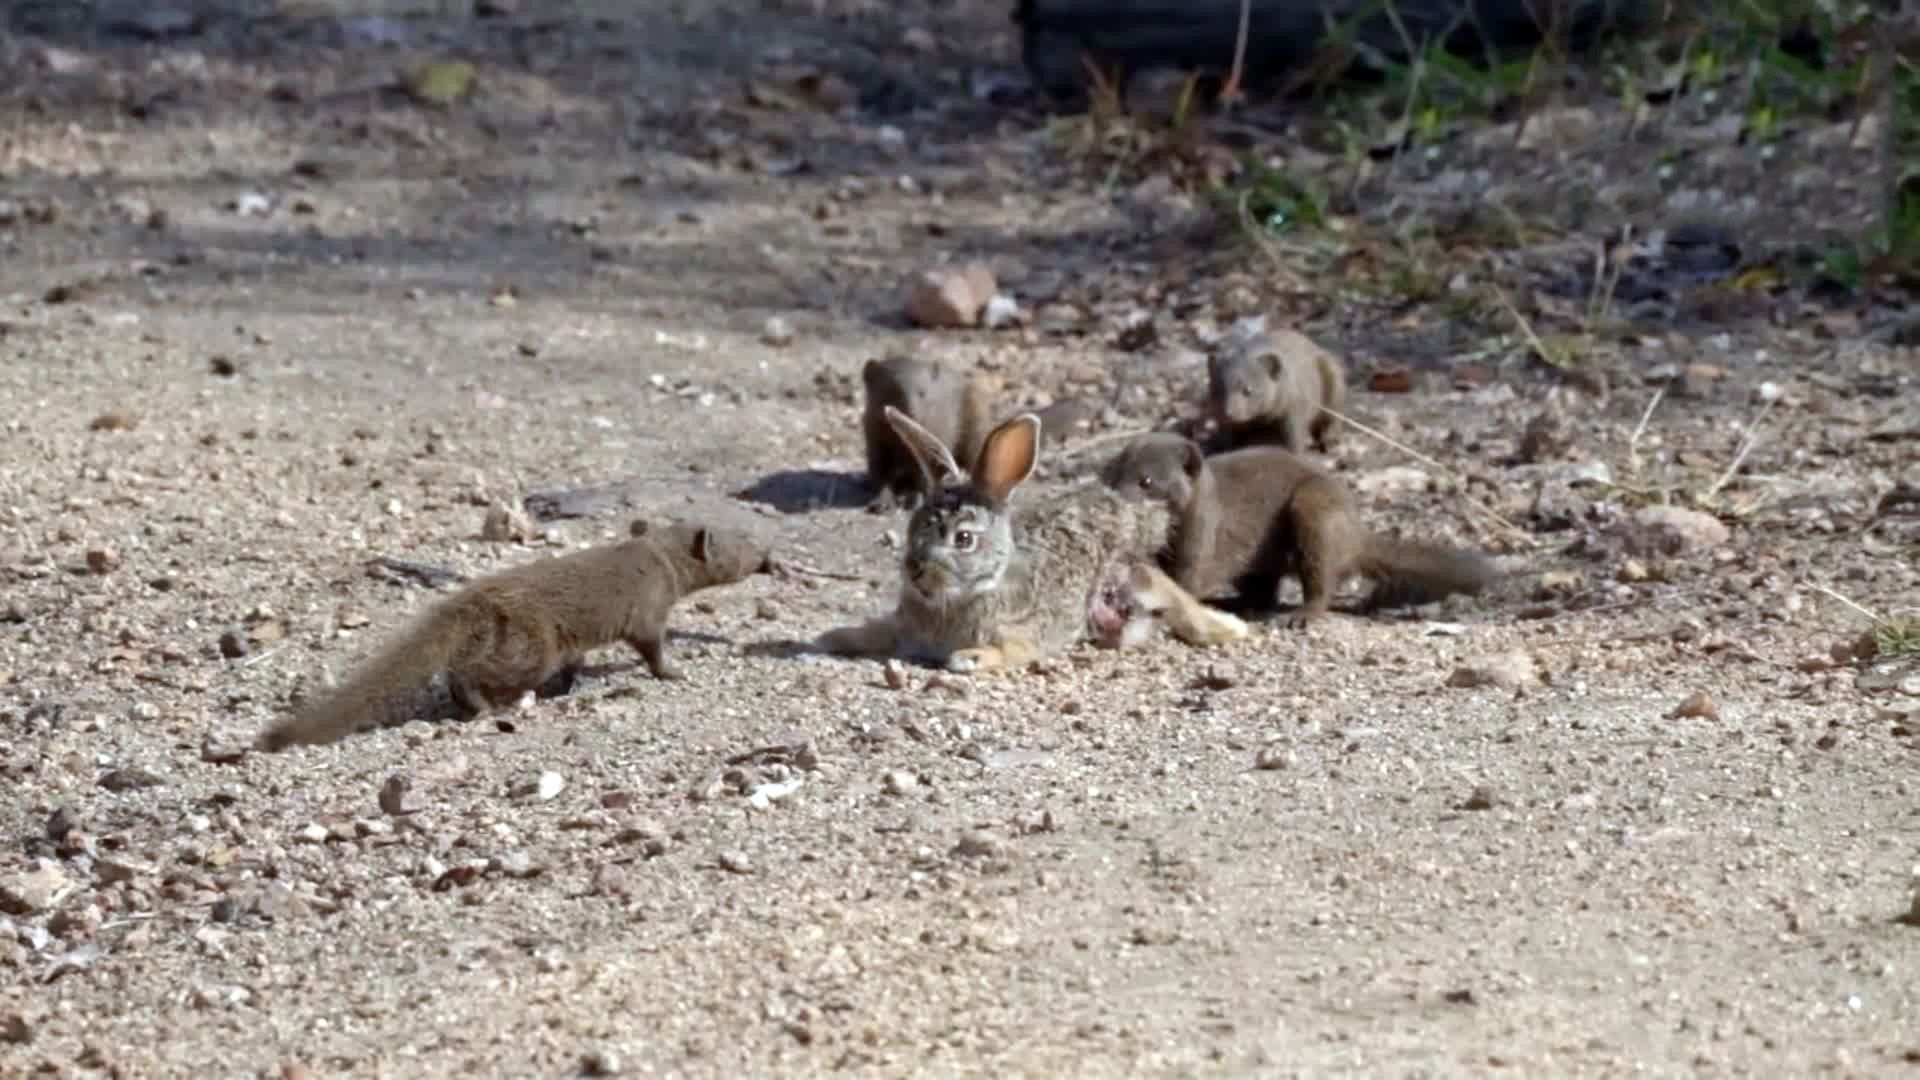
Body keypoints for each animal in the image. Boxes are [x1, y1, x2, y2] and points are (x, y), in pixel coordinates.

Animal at [817, 405, 1251, 672]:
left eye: (964, 539)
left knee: (1179, 603)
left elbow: (1009, 651)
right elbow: (876, 631)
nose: (916, 571)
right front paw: (832, 637)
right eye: (915, 526)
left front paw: (969, 658)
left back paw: (1230, 629)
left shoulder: (1022, 637)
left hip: (1130, 577)